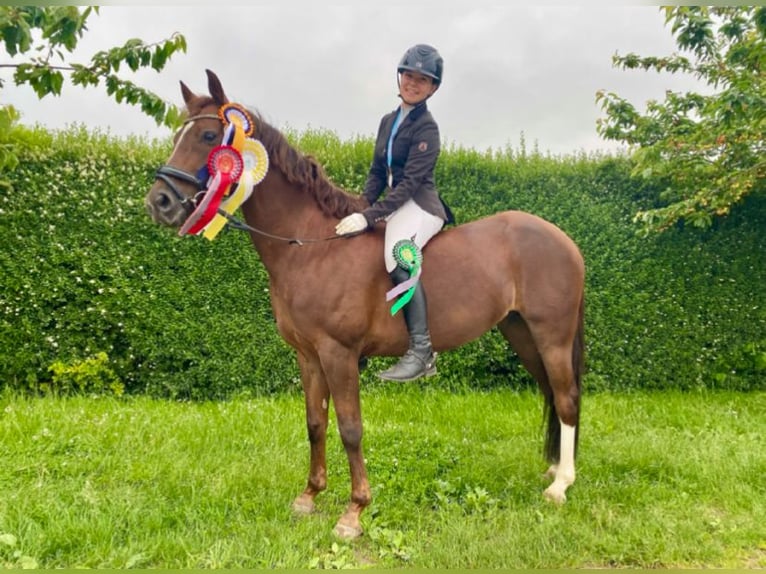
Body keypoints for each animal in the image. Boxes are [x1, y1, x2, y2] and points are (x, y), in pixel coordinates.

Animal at [146, 71, 588, 540]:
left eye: (210, 136)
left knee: (566, 397)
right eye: (177, 136)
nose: (159, 202)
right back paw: (553, 469)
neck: (312, 246)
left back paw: (561, 485)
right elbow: (315, 422)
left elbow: (351, 428)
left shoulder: (339, 353)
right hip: (521, 331)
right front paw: (309, 496)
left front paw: (353, 512)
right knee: (550, 391)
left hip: (552, 335)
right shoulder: (307, 355)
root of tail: (563, 240)